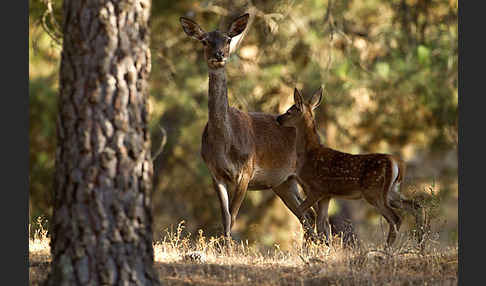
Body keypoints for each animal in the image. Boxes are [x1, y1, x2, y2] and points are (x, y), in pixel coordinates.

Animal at [178, 14, 316, 240]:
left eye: (227, 40)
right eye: (205, 41)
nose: (218, 55)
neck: (224, 144)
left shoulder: (246, 170)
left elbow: (233, 215)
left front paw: (228, 244)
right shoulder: (214, 172)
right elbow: (225, 216)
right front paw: (224, 243)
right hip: (283, 183)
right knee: (306, 215)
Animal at [278, 86, 426, 246]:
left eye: (289, 111)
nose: (278, 119)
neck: (309, 154)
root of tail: (397, 163)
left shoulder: (316, 188)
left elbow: (302, 213)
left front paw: (312, 244)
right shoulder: (326, 194)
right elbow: (322, 223)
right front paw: (326, 246)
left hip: (374, 191)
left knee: (396, 218)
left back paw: (387, 248)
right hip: (392, 190)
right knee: (416, 206)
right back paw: (420, 243)